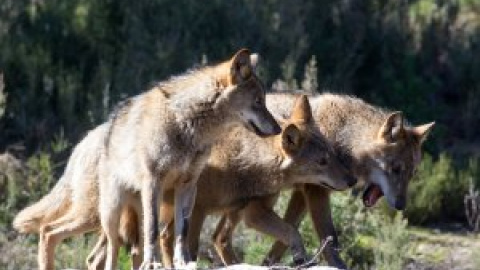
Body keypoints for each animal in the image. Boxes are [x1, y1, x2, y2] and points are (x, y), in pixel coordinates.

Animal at [14, 48, 282, 270]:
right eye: (258, 102)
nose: (279, 129)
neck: (187, 125)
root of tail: (85, 140)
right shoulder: (154, 181)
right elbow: (154, 230)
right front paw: (154, 263)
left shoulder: (188, 186)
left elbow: (182, 231)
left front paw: (183, 261)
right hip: (106, 214)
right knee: (59, 235)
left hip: (123, 215)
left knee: (106, 252)